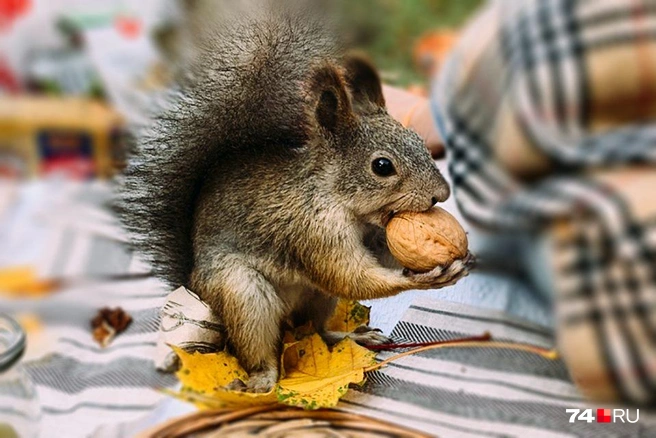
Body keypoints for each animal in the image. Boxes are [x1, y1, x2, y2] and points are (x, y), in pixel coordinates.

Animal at [116, 5, 472, 392]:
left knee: (314, 332)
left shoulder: (372, 235)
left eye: (421, 142)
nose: (442, 193)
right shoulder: (312, 231)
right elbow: (351, 277)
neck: (338, 199)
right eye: (382, 166)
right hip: (242, 294)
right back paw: (261, 380)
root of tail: (195, 285)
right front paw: (423, 279)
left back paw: (349, 337)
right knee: (260, 344)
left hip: (315, 298)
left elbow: (380, 258)